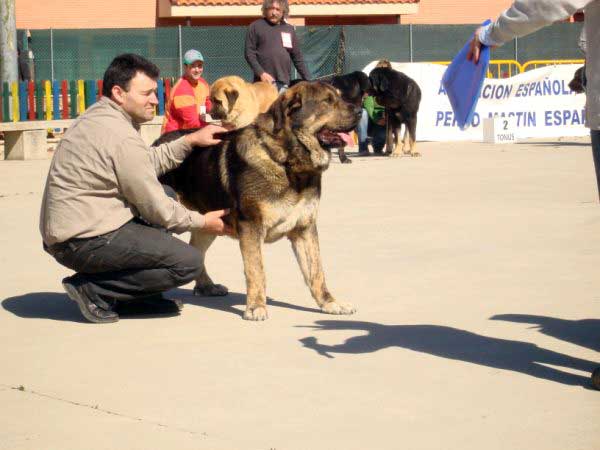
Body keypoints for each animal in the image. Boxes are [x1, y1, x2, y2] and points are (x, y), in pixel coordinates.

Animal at [156, 81, 360, 320]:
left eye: (339, 96)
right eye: (327, 101)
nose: (360, 111)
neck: (287, 162)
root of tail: (156, 143)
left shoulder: (305, 228)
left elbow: (316, 271)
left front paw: (329, 303)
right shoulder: (251, 227)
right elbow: (256, 270)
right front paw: (255, 306)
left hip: (208, 222)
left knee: (196, 249)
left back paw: (206, 286)